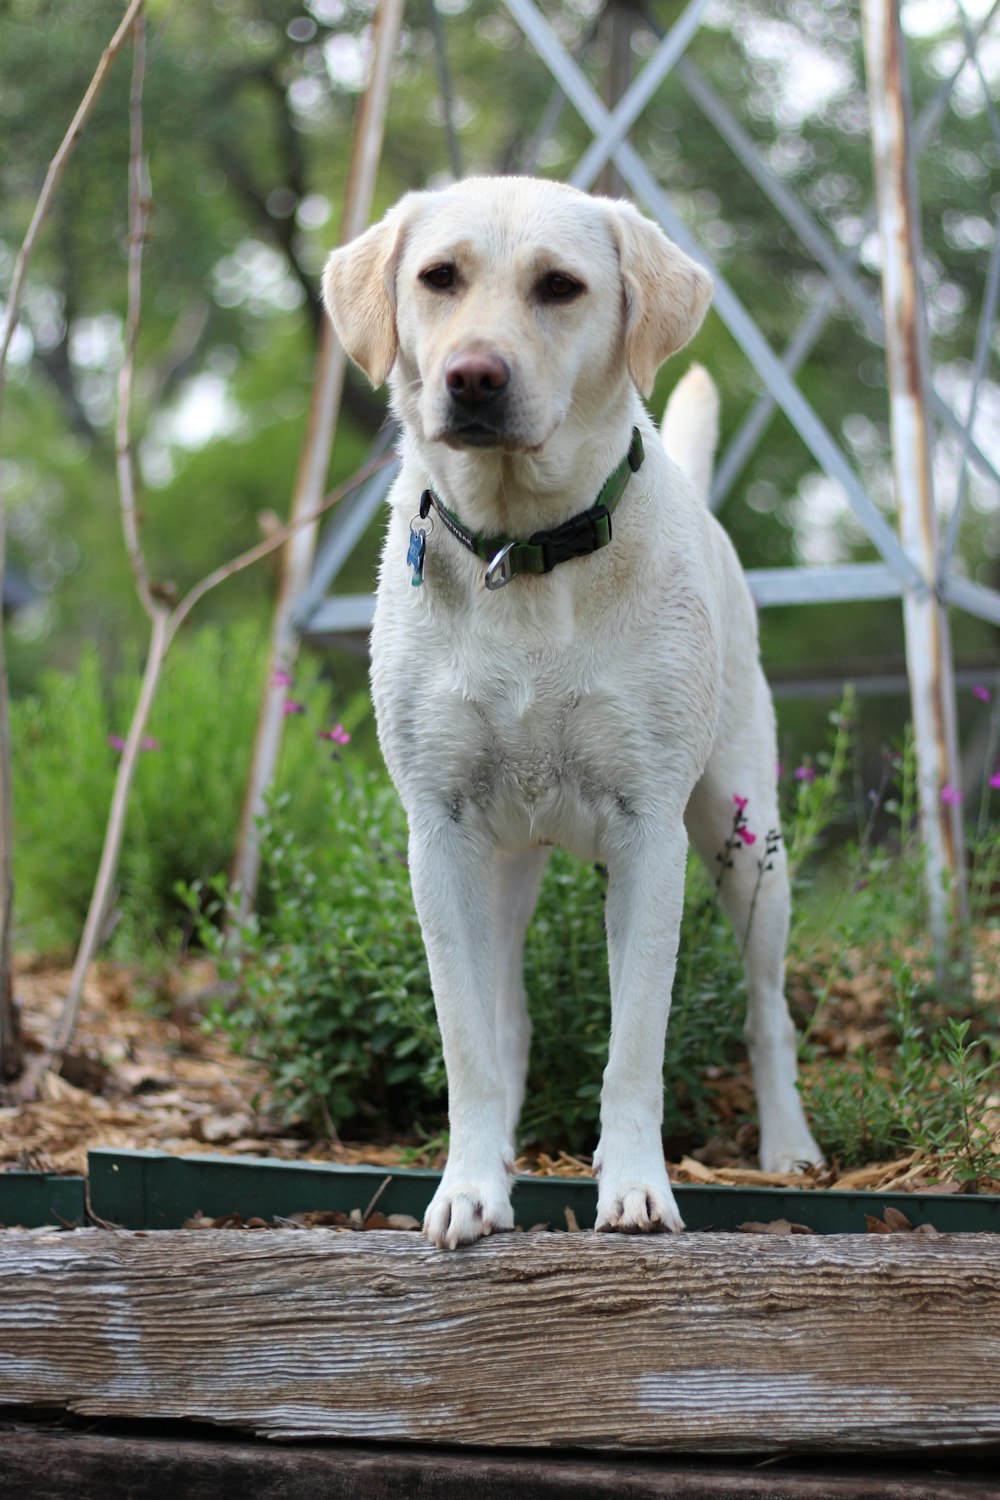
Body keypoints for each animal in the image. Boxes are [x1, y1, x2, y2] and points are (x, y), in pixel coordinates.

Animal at [325, 175, 827, 1248]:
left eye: (560, 286)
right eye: (438, 277)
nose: (473, 376)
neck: (523, 549)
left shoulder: (650, 834)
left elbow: (634, 1040)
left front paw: (635, 1189)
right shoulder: (440, 835)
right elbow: (468, 1041)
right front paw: (471, 1186)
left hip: (748, 843)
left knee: (768, 1008)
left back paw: (790, 1147)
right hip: (506, 868)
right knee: (507, 1020)